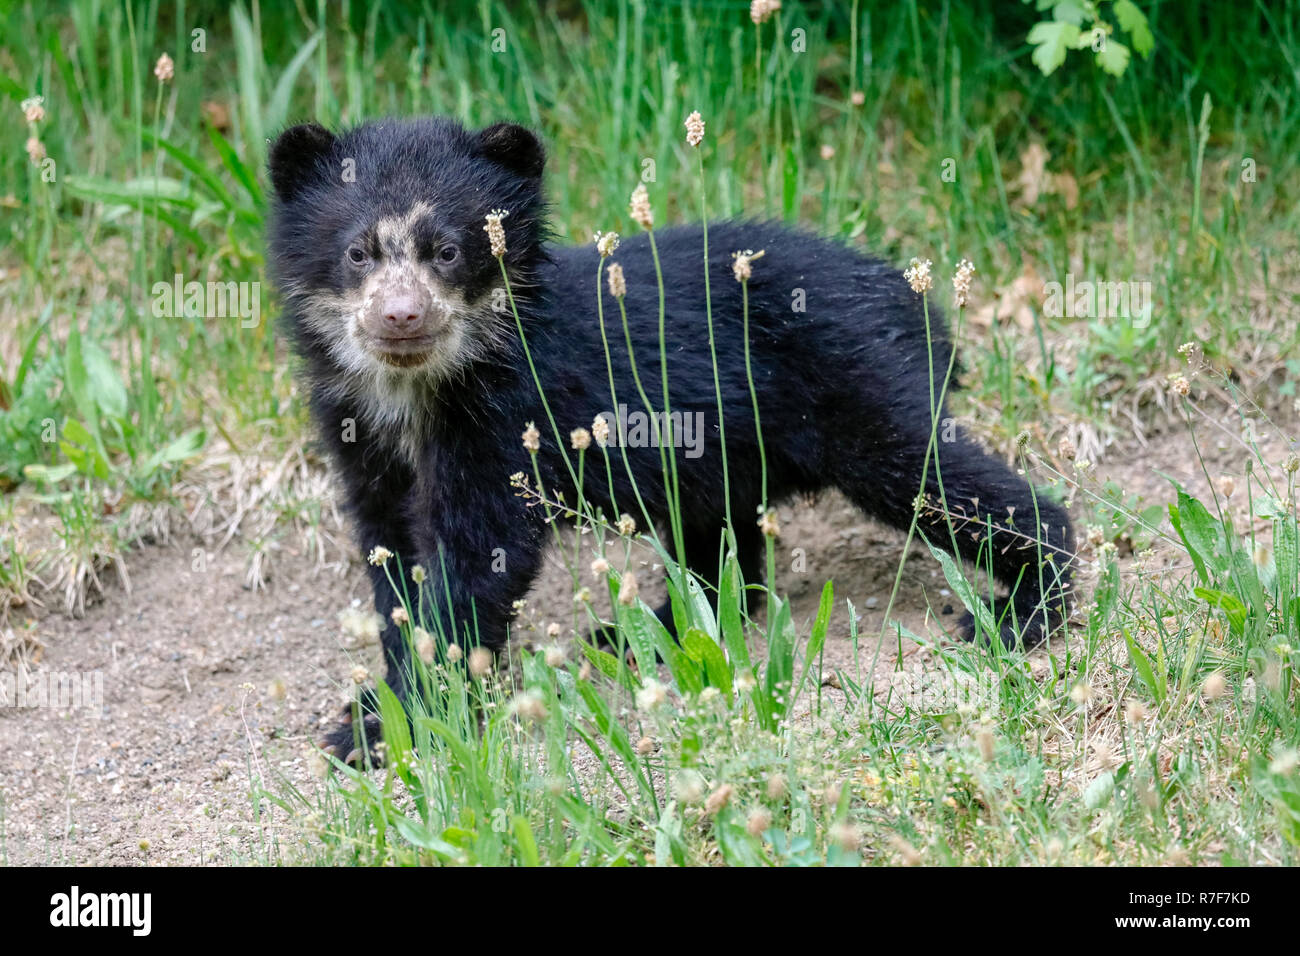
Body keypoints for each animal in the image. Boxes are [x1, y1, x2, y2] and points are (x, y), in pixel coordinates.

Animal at [266, 117, 1074, 763]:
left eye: (449, 251)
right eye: (357, 253)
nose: (401, 317)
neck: (419, 393)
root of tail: (919, 306)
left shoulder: (507, 418)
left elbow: (478, 559)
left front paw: (389, 725)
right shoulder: (361, 440)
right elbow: (393, 560)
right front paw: (380, 706)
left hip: (860, 390)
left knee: (934, 473)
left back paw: (1023, 606)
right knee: (722, 539)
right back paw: (648, 628)